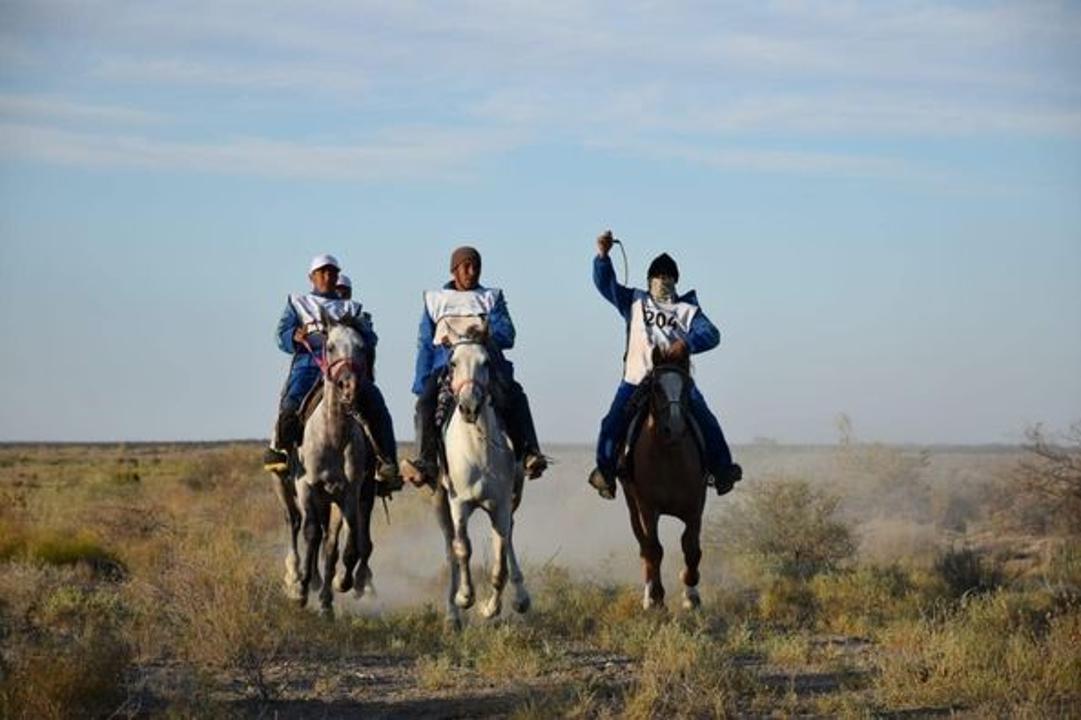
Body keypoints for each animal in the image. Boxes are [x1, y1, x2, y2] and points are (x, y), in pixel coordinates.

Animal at [434, 332, 527, 627]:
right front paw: (465, 597)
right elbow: (462, 548)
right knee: (450, 546)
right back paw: (452, 614)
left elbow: (500, 560)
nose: (469, 407)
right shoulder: (459, 504)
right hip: (440, 502)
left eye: (486, 362)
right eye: (452, 363)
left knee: (508, 537)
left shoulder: (501, 504)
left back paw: (521, 597)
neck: (477, 449)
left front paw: (491, 607)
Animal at [622, 350, 704, 609]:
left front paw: (691, 594)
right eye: (656, 387)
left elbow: (691, 548)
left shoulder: (695, 506)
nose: (674, 428)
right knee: (644, 547)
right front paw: (656, 598)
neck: (669, 457)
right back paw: (648, 594)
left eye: (687, 386)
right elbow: (654, 549)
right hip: (632, 506)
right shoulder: (648, 508)